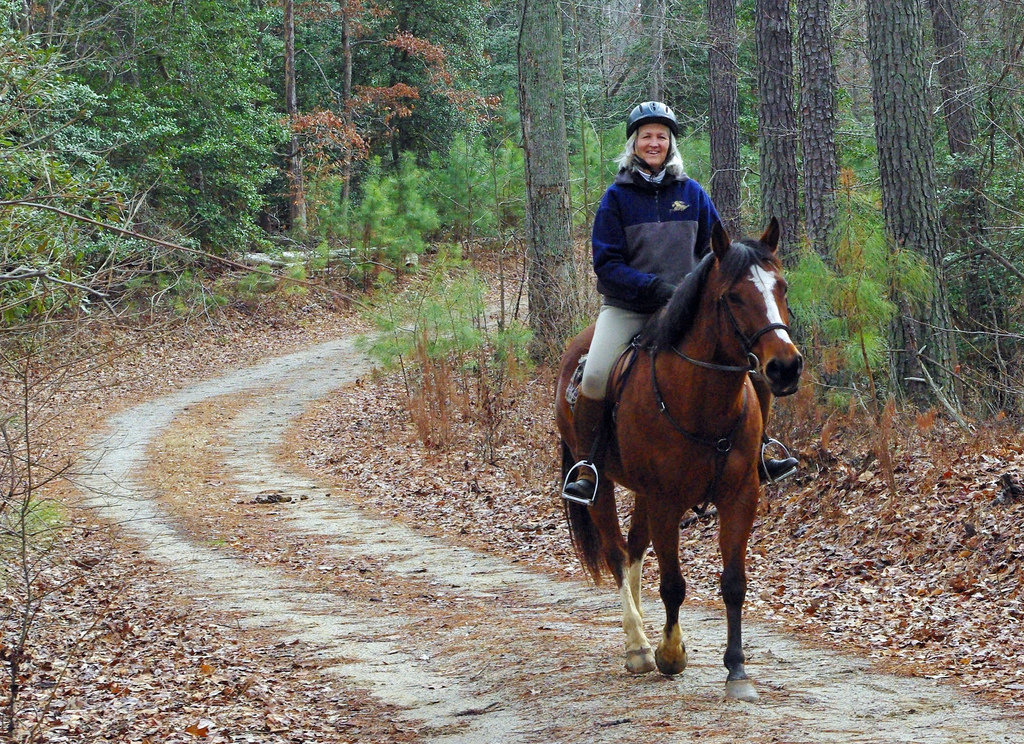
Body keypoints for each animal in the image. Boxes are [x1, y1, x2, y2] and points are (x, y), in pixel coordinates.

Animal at [557, 217, 802, 699]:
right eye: (734, 296)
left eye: (781, 287)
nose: (785, 367)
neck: (702, 401)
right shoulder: (666, 501)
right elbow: (672, 585)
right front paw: (670, 655)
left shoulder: (739, 497)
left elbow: (733, 584)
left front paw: (736, 670)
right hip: (604, 487)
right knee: (617, 554)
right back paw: (638, 646)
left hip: (642, 495)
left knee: (634, 550)